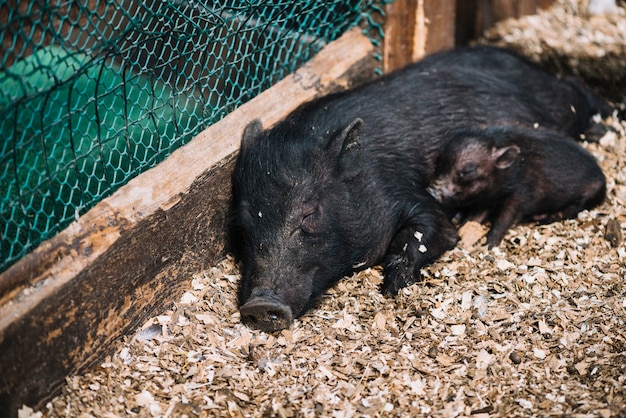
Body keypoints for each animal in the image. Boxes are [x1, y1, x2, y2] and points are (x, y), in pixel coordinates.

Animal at [426, 125, 604, 247]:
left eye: (467, 171)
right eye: (439, 164)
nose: (432, 190)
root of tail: (603, 180)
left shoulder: (521, 194)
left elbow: (505, 218)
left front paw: (488, 245)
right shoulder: (487, 197)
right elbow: (477, 215)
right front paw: (463, 230)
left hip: (590, 193)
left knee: (572, 209)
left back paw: (541, 219)